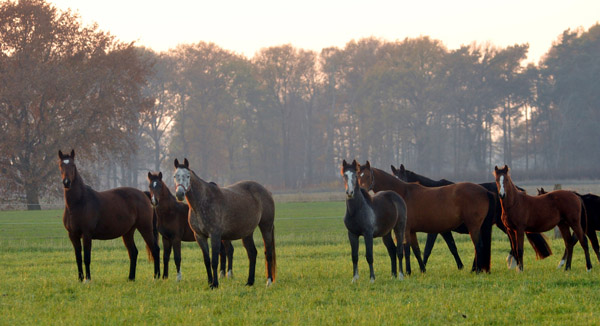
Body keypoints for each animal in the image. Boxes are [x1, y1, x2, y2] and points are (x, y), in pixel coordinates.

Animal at [57, 150, 161, 280]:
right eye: (61, 165)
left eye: (73, 165)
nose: (67, 182)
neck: (79, 202)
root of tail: (143, 194)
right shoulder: (73, 235)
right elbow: (78, 259)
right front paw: (80, 279)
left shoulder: (87, 235)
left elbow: (86, 258)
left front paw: (88, 279)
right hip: (128, 232)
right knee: (133, 252)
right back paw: (131, 278)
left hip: (145, 228)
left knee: (155, 250)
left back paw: (156, 277)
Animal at [173, 158, 276, 288]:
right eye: (175, 176)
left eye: (188, 176)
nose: (179, 194)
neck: (203, 201)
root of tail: (267, 191)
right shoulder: (199, 236)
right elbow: (207, 261)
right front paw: (209, 282)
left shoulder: (215, 235)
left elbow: (215, 261)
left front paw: (215, 284)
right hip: (247, 233)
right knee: (252, 253)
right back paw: (250, 282)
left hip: (266, 227)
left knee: (268, 253)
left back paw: (269, 282)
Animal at [356, 162, 492, 274]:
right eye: (358, 176)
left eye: (368, 176)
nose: (362, 190)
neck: (402, 194)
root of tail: (485, 191)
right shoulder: (412, 231)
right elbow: (416, 250)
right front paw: (422, 269)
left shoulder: (408, 230)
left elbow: (408, 249)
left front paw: (408, 271)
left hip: (473, 226)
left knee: (478, 246)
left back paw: (477, 270)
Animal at [390, 164, 552, 268]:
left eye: (401, 179)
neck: (430, 192)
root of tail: (518, 190)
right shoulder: (442, 230)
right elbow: (449, 247)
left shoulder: (437, 230)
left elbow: (432, 248)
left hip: (502, 224)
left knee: (512, 241)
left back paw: (511, 262)